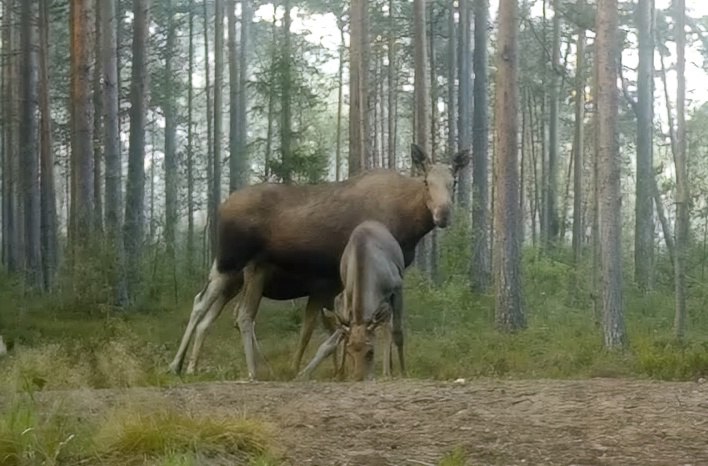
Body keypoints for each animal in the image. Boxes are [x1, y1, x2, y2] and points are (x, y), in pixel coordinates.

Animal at [169, 145, 470, 378]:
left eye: (454, 183)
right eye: (426, 182)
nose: (443, 215)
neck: (410, 224)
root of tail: (219, 207)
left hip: (234, 275)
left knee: (208, 310)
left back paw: (191, 366)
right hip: (231, 262)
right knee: (207, 306)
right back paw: (187, 365)